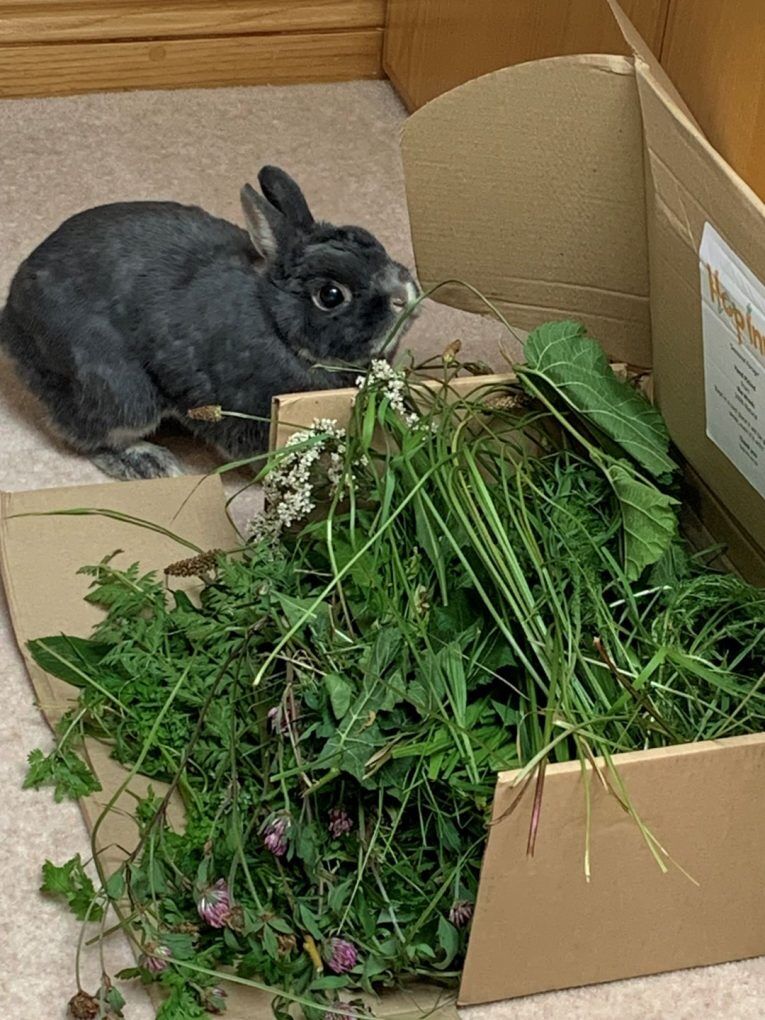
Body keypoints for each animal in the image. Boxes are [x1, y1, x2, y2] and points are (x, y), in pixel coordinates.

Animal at [0, 166, 420, 480]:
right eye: (330, 295)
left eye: (369, 238)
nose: (405, 294)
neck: (278, 324)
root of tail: (12, 321)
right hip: (122, 394)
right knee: (91, 436)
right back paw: (149, 462)